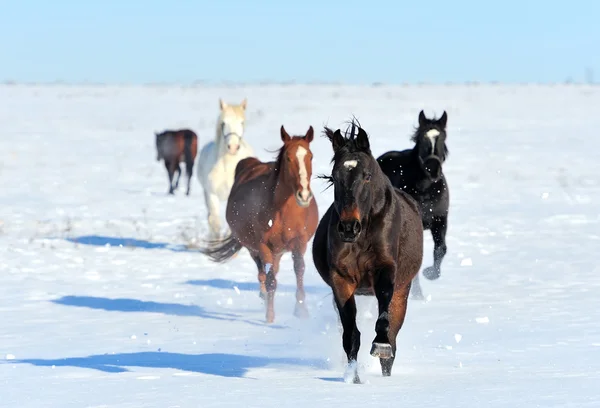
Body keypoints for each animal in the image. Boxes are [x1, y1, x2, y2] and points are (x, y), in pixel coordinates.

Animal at [199, 124, 318, 322]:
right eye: (288, 157)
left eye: (310, 156)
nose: (304, 195)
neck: (281, 211)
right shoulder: (263, 246)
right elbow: (270, 281)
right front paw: (270, 317)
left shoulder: (299, 243)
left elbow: (299, 270)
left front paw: (301, 310)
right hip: (255, 249)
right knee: (263, 274)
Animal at [312, 120, 424, 382]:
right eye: (335, 176)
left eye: (367, 176)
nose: (348, 227)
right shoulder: (341, 280)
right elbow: (350, 335)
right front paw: (353, 377)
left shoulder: (386, 271)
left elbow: (384, 322)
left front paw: (381, 345)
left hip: (403, 290)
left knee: (393, 335)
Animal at [378, 111, 448, 300]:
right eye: (422, 138)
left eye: (442, 137)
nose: (432, 169)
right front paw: (417, 294)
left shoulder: (440, 220)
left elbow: (441, 249)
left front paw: (430, 274)